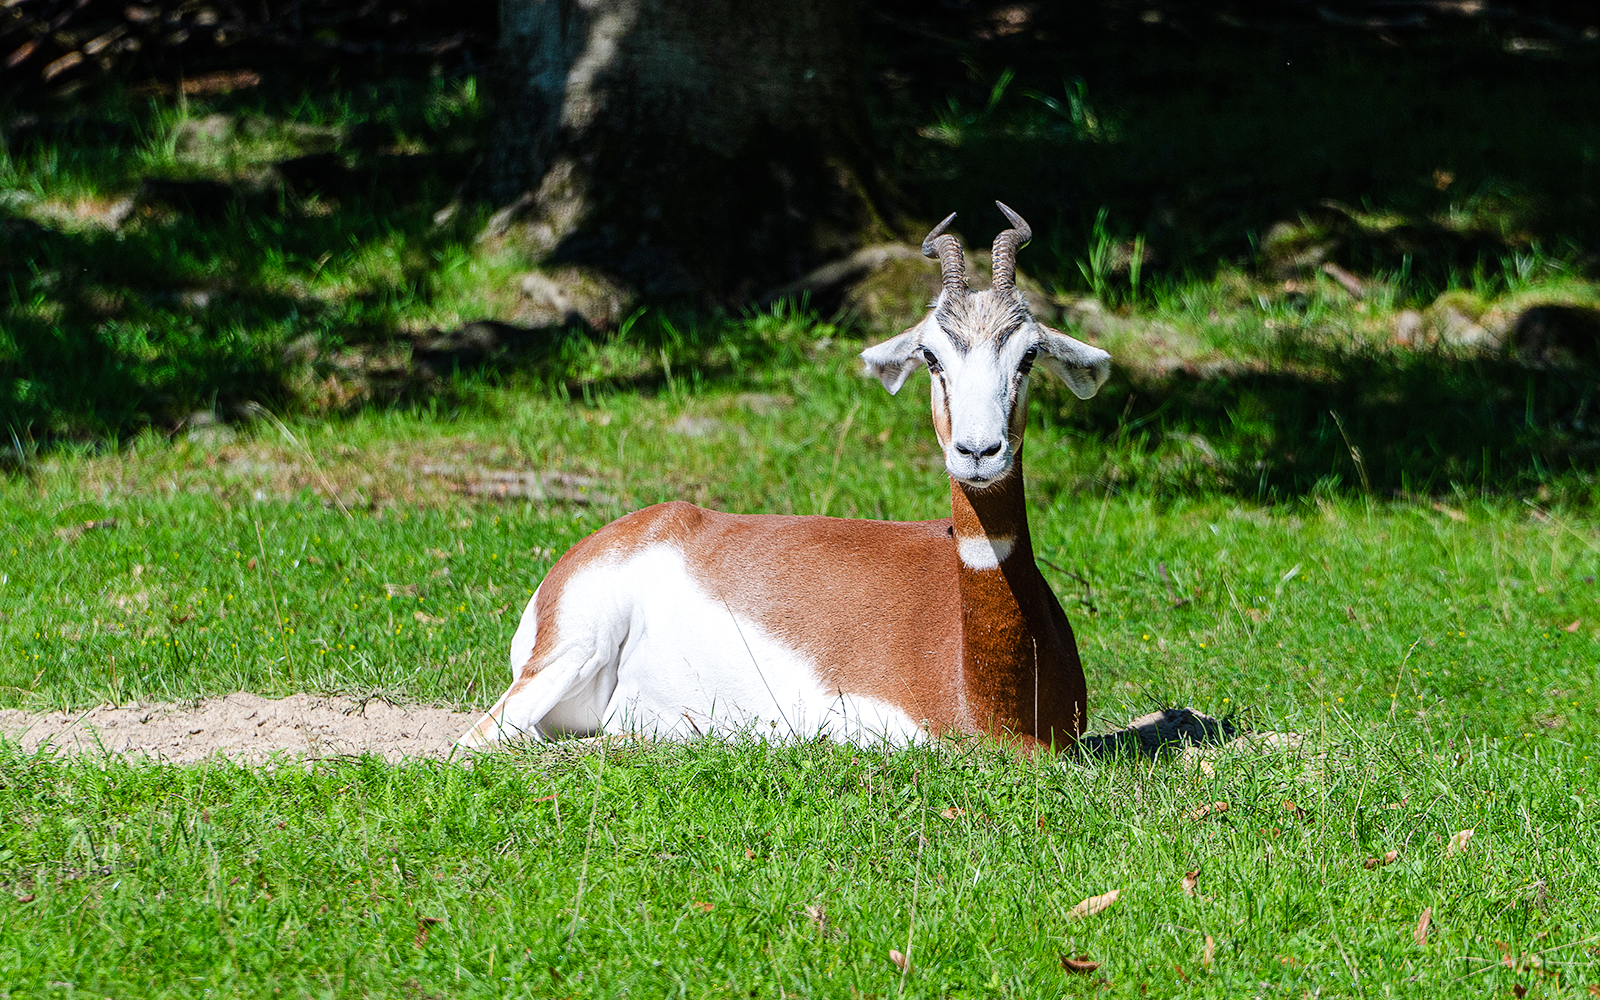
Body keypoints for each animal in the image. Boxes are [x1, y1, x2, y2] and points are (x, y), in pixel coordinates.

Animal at [457, 203, 1111, 751]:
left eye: (1029, 354)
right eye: (931, 356)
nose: (978, 452)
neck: (989, 697)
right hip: (572, 651)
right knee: (479, 742)